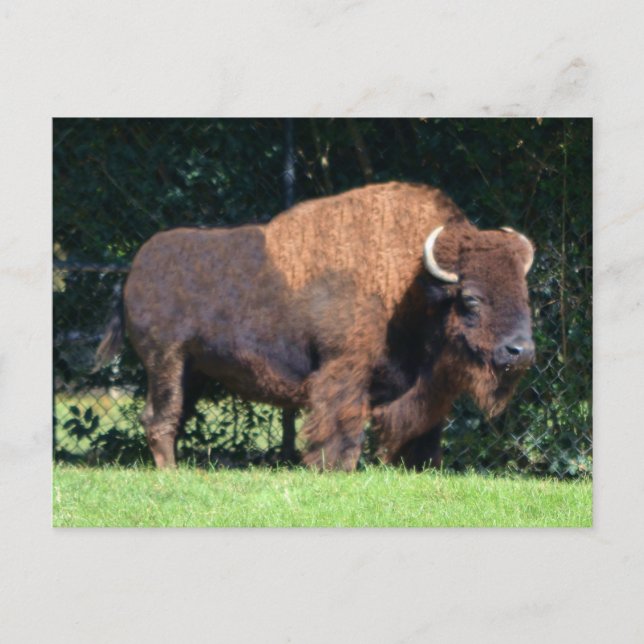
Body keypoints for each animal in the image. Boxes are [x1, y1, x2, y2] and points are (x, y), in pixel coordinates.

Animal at [95, 182, 535, 470]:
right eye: (471, 297)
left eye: (525, 295)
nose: (521, 351)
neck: (411, 282)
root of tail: (136, 268)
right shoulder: (344, 370)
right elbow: (342, 426)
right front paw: (333, 469)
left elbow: (423, 433)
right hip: (165, 361)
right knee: (160, 417)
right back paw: (171, 474)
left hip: (194, 370)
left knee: (171, 415)